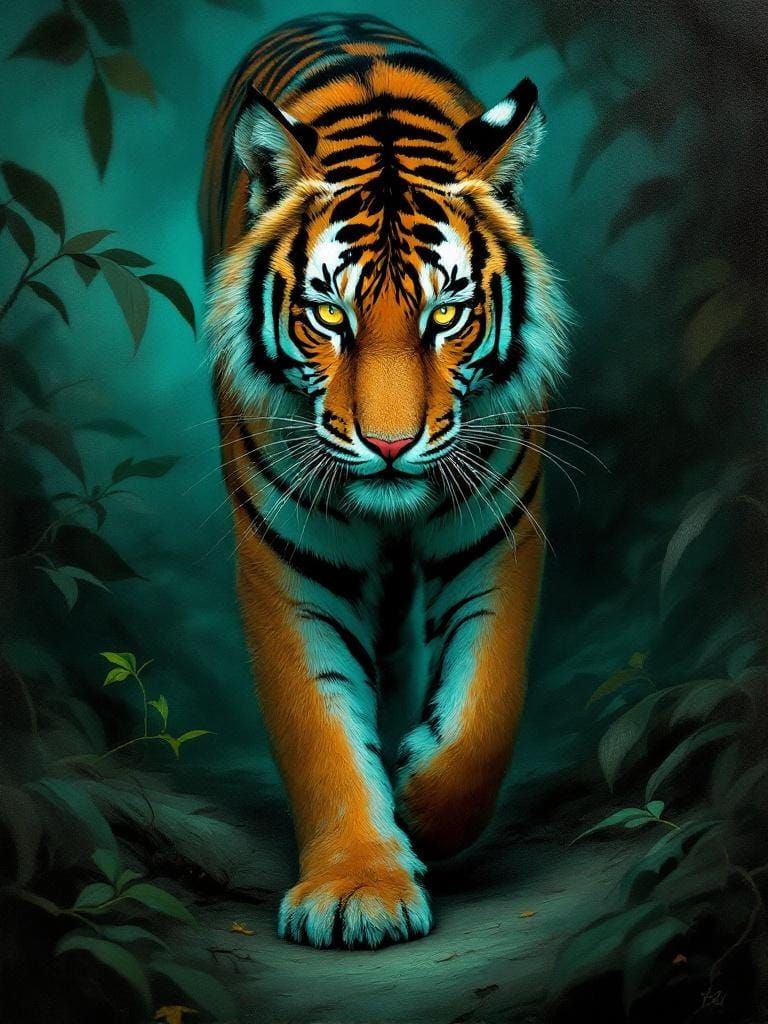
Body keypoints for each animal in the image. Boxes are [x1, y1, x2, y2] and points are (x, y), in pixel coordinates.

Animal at [200, 13, 568, 949]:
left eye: (448, 314)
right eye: (331, 314)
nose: (392, 444)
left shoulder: (498, 525)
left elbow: (485, 713)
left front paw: (422, 806)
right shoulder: (288, 554)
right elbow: (319, 724)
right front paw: (358, 888)